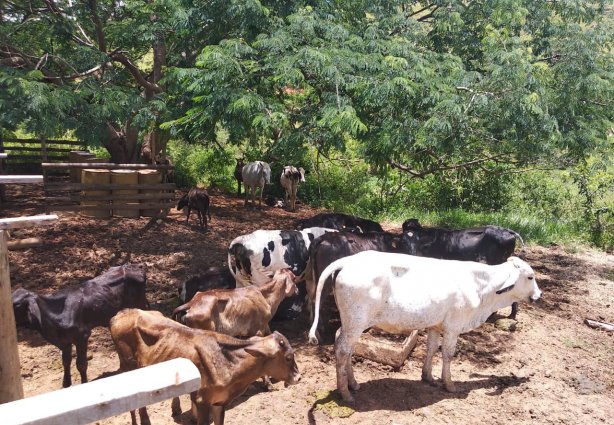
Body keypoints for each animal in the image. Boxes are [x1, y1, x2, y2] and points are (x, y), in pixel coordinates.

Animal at [112, 308, 304, 424]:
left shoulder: (219, 402)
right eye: (288, 357)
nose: (299, 377)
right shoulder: (201, 401)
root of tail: (122, 313)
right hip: (127, 366)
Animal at [310, 250, 540, 402]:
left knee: (344, 345)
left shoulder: (435, 325)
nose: (539, 295)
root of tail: (347, 261)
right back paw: (345, 393)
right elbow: (447, 354)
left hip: (351, 322)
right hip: (356, 322)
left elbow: (430, 349)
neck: (481, 287)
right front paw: (449, 384)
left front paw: (427, 376)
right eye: (530, 277)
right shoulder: (453, 326)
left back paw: (353, 384)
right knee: (342, 349)